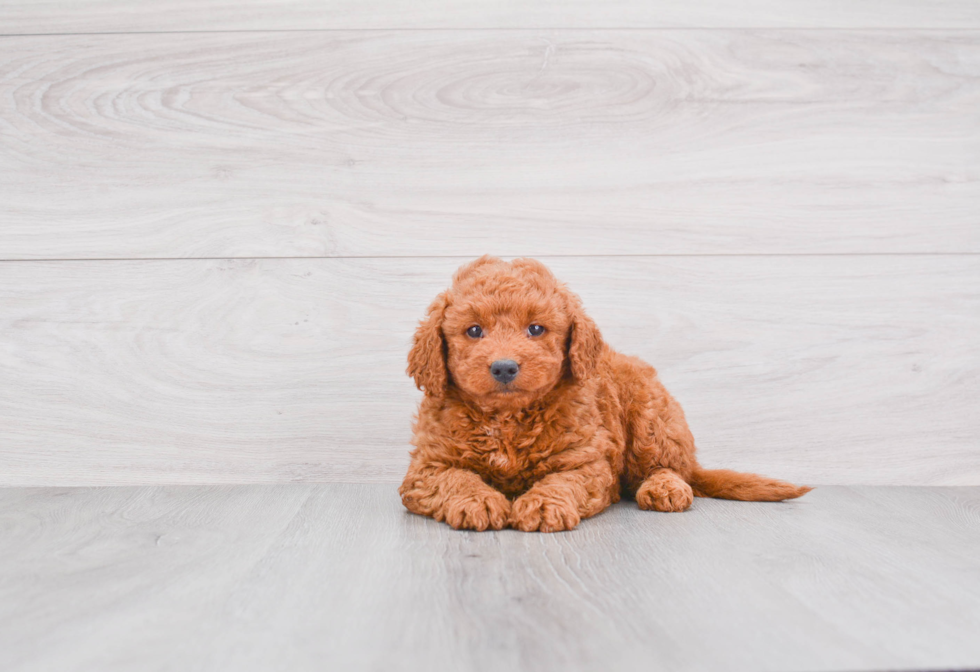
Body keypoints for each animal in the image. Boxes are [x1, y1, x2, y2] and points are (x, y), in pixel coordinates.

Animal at [398, 255, 812, 532]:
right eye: (473, 331)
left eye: (536, 329)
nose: (503, 367)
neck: (509, 418)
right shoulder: (426, 467)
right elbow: (456, 477)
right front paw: (478, 500)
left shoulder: (587, 463)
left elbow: (564, 481)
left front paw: (543, 506)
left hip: (650, 420)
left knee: (666, 467)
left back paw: (665, 488)